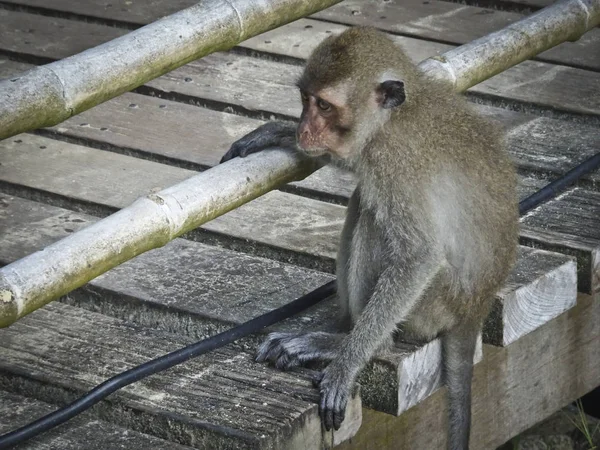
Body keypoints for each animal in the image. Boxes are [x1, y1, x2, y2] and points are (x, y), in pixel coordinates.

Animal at [218, 26, 516, 448]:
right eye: (306, 100)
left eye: (325, 106)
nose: (304, 128)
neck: (392, 119)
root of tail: (476, 306)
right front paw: (278, 132)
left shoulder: (393, 161)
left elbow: (420, 255)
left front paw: (346, 365)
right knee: (364, 201)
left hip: (433, 307)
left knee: (376, 219)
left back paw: (346, 346)